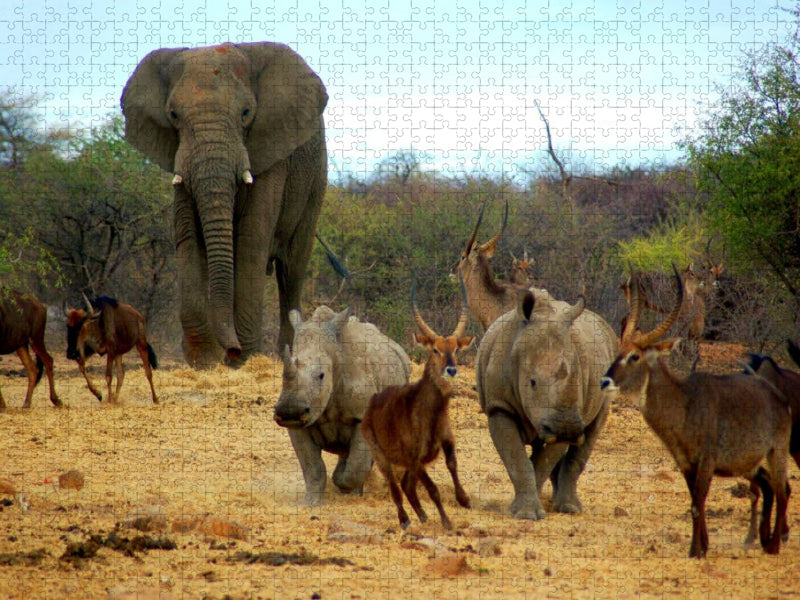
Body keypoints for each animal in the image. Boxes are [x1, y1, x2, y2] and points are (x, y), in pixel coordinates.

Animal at [121, 42, 328, 367]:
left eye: (246, 113)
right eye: (173, 115)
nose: (231, 350)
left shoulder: (270, 150)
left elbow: (252, 238)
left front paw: (241, 360)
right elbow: (189, 236)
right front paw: (204, 360)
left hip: (315, 179)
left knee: (291, 269)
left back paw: (288, 355)